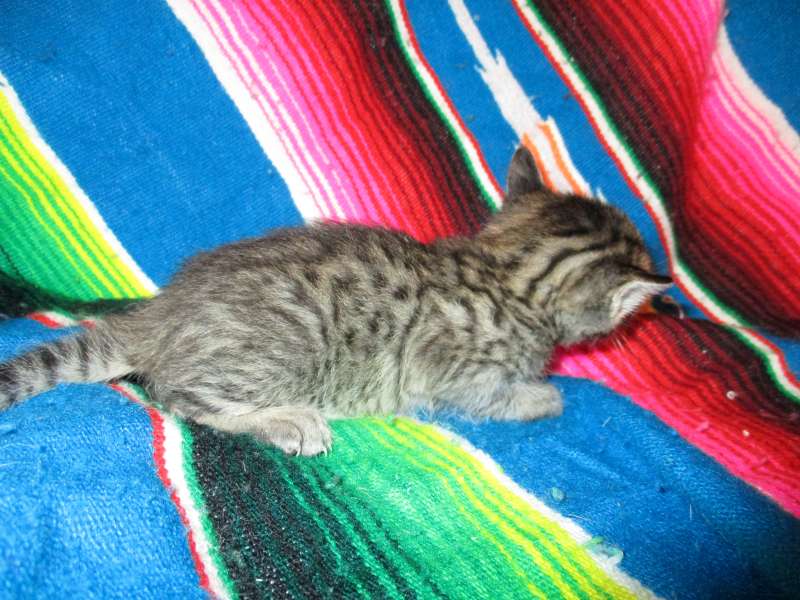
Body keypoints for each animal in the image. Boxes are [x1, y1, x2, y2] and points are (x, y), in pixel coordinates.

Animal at [0, 146, 670, 456]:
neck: (508, 269)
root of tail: (160, 315)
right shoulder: (449, 369)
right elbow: (494, 397)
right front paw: (542, 395)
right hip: (280, 355)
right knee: (182, 397)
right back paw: (284, 419)